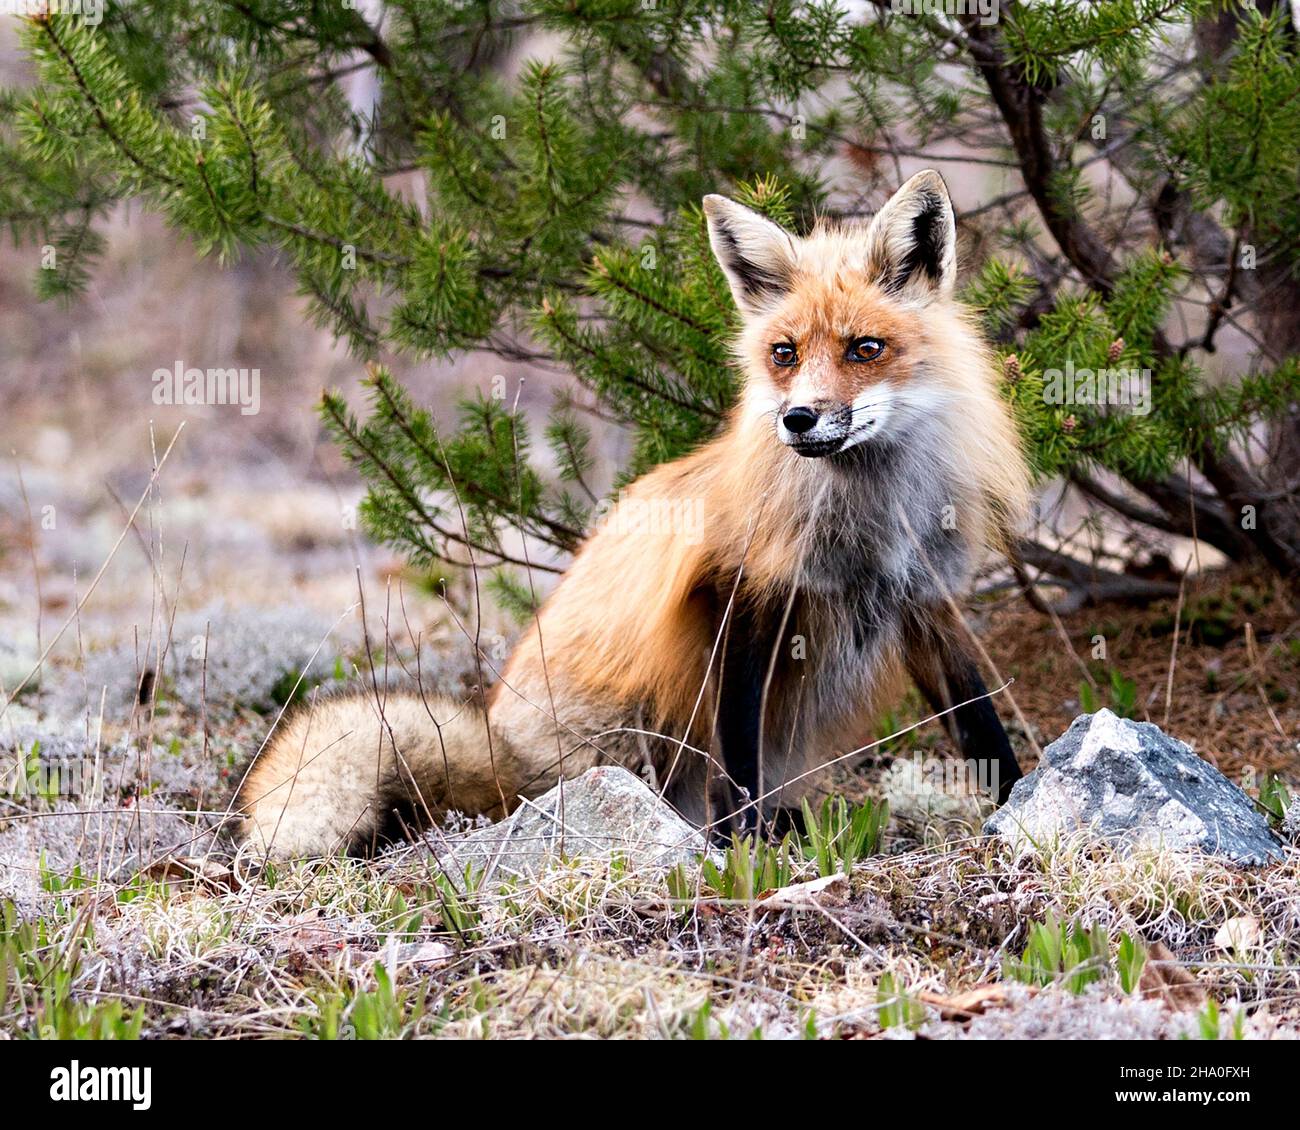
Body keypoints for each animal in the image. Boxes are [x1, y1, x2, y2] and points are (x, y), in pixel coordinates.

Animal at [235, 170, 1032, 858]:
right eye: (784, 353)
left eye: (865, 349)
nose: (799, 419)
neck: (871, 519)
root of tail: (500, 742)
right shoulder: (736, 595)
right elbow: (738, 753)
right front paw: (745, 852)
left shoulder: (926, 597)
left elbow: (982, 726)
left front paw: (1021, 809)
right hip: (627, 738)